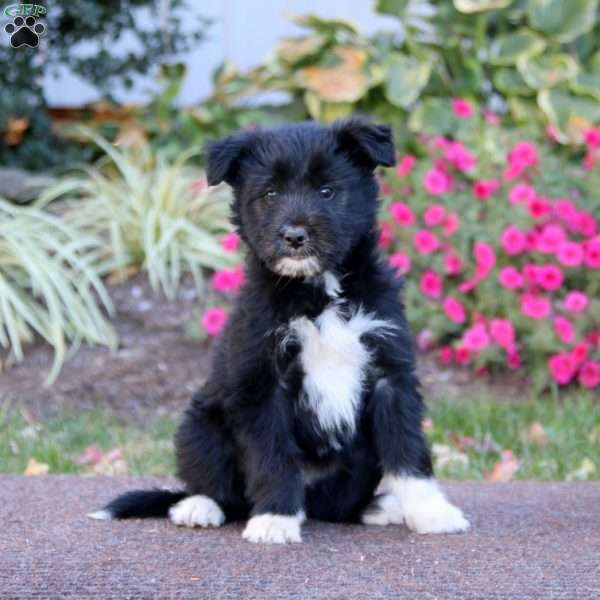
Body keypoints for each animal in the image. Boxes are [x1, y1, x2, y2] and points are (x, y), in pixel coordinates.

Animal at [91, 117, 472, 544]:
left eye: (326, 190)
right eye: (270, 193)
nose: (294, 236)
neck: (318, 292)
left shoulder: (390, 370)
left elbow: (408, 450)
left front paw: (431, 511)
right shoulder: (261, 382)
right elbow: (273, 457)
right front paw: (275, 518)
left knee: (337, 507)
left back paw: (378, 507)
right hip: (199, 424)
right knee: (217, 487)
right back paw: (198, 506)